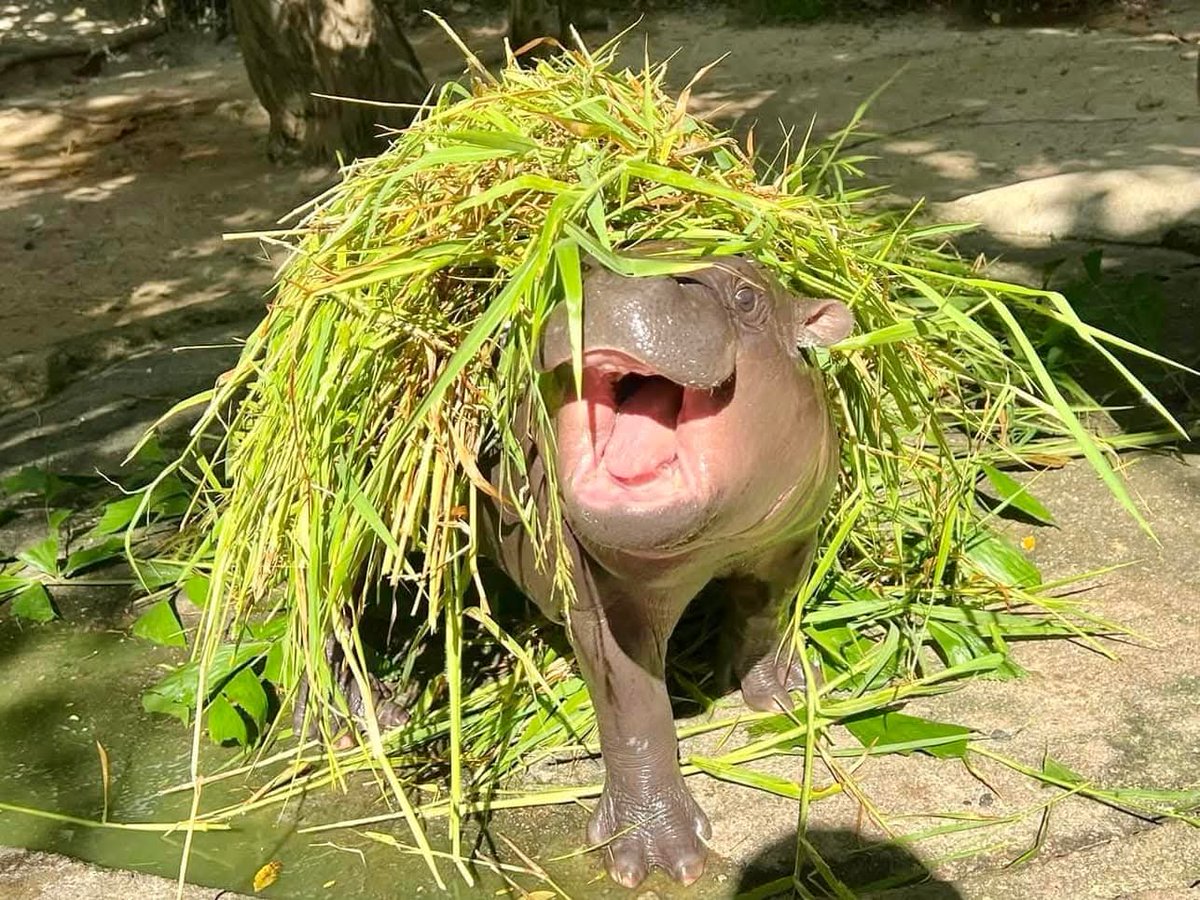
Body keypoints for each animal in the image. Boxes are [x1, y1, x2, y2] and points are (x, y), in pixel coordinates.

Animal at [297, 248, 853, 887]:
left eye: (747, 297)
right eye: (585, 268)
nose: (621, 284)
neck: (717, 543)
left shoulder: (790, 541)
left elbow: (767, 618)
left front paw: (789, 695)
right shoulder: (606, 607)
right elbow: (635, 714)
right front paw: (658, 856)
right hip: (345, 520)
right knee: (320, 609)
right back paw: (359, 721)